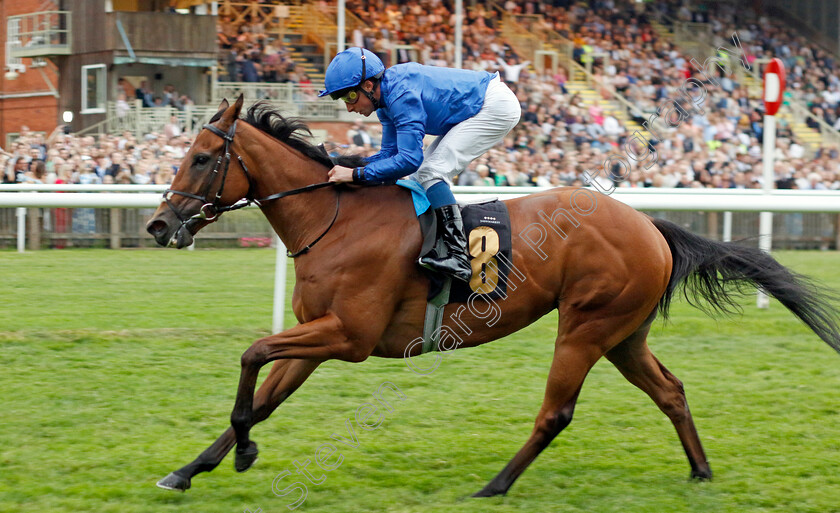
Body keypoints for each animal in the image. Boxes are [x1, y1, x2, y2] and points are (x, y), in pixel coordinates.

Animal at [146, 97, 840, 496]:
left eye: (202, 157)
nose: (158, 225)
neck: (337, 218)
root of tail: (648, 224)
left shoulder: (348, 336)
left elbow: (251, 355)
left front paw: (242, 452)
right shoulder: (319, 336)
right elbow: (263, 395)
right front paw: (192, 468)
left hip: (585, 326)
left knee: (556, 412)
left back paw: (494, 486)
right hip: (623, 334)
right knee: (670, 390)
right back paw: (699, 471)